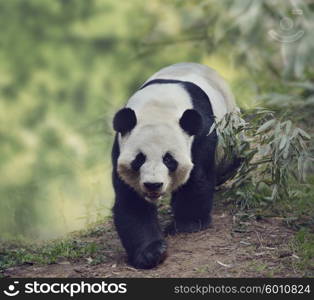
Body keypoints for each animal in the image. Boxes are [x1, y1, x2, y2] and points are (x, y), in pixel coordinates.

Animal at [111, 62, 237, 270]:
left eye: (169, 159)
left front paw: (187, 224)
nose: (153, 185)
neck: (158, 108)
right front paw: (151, 252)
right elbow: (131, 200)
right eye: (139, 159)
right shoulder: (121, 146)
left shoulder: (201, 133)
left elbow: (197, 178)